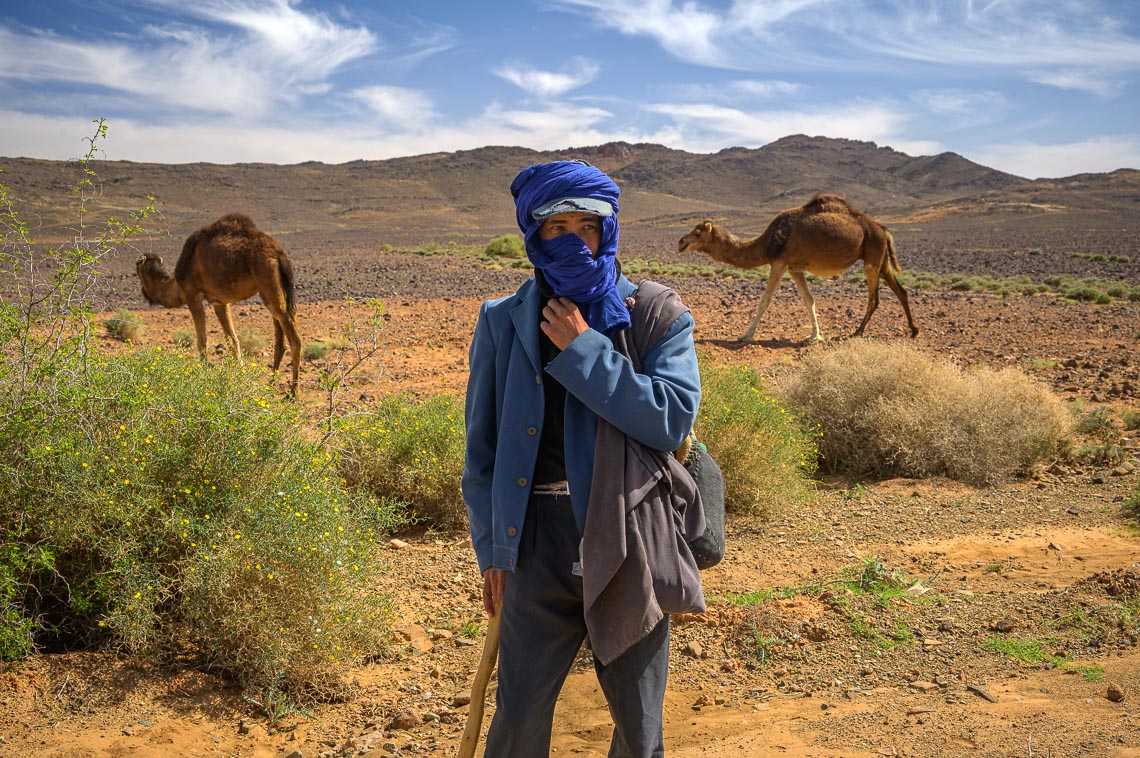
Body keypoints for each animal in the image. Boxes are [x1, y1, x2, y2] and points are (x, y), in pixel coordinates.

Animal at [135, 210, 303, 392]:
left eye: (138, 269)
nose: (143, 292)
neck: (176, 285)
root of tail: (279, 254)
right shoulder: (220, 302)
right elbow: (232, 340)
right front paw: (240, 377)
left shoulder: (192, 296)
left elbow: (202, 340)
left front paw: (202, 376)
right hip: (278, 289)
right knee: (281, 334)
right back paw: (270, 385)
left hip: (266, 275)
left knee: (294, 339)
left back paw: (293, 393)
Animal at [674, 192, 916, 339]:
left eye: (698, 232)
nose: (681, 242)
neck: (767, 243)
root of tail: (882, 228)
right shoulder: (794, 267)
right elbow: (809, 300)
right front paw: (815, 335)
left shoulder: (779, 262)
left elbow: (764, 301)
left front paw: (746, 335)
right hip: (880, 258)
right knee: (900, 290)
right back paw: (914, 330)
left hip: (872, 255)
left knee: (874, 298)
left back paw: (857, 332)